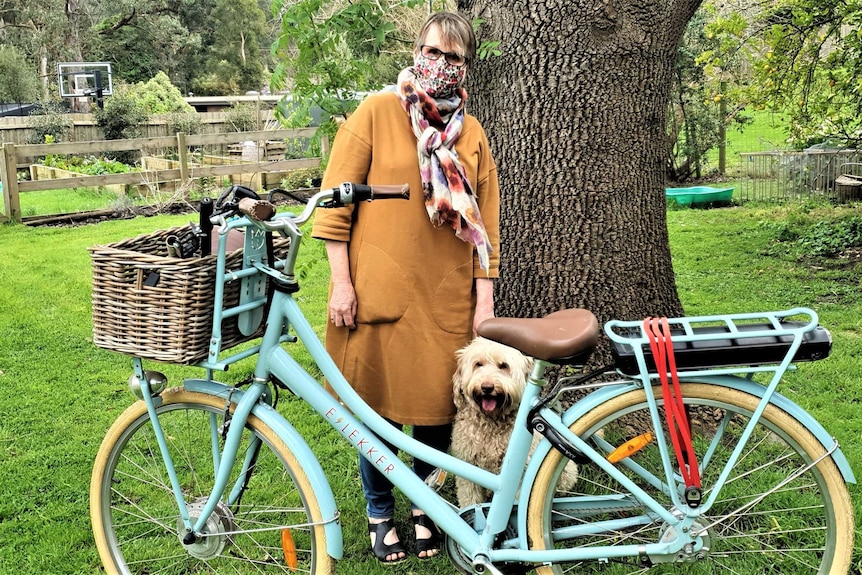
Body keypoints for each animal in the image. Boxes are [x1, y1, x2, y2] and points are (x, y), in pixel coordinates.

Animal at [452, 340, 580, 506]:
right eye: (478, 364)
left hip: (565, 472)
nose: (487, 387)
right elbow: (470, 499)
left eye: (503, 365)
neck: (492, 422)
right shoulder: (468, 466)